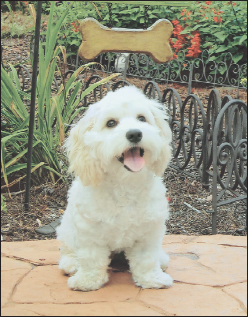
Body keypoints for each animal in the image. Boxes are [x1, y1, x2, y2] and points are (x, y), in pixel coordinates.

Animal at [56, 85, 172, 290]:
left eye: (142, 118)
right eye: (111, 123)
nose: (135, 133)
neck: (125, 184)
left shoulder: (148, 233)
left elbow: (147, 259)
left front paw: (152, 279)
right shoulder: (89, 231)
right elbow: (91, 258)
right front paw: (88, 281)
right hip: (67, 229)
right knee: (68, 249)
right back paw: (71, 263)